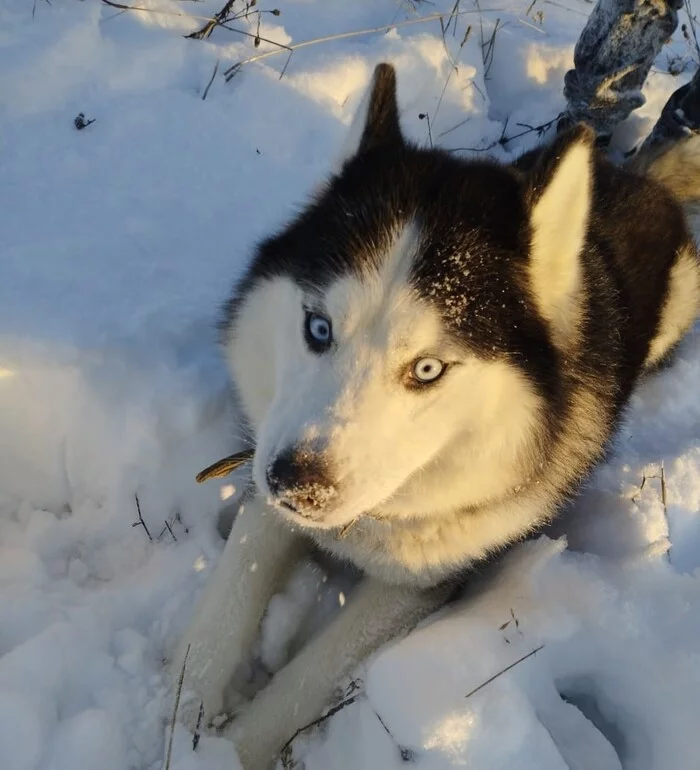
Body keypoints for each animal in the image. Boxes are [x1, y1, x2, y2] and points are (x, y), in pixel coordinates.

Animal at [174, 63, 700, 764]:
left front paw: (226, 749)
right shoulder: (269, 467)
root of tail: (635, 179)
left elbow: (308, 678)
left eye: (427, 370)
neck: (372, 519)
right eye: (318, 327)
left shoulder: (414, 586)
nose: (299, 486)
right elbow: (224, 606)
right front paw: (176, 723)